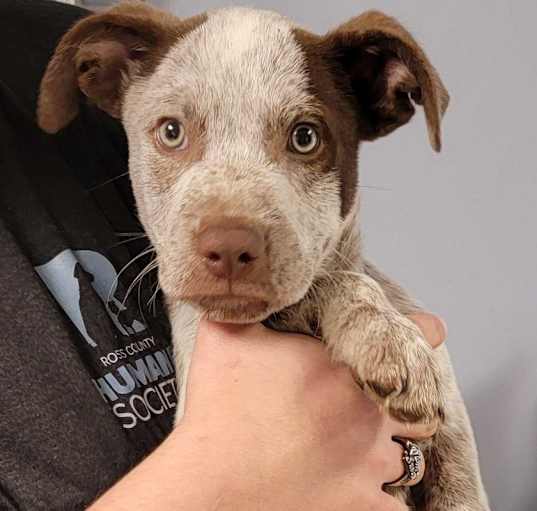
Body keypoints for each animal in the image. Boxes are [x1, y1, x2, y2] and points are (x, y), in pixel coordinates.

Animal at [36, 2, 490, 510]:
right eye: (172, 131)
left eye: (306, 137)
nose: (230, 247)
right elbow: (323, 285)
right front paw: (384, 337)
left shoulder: (457, 459)